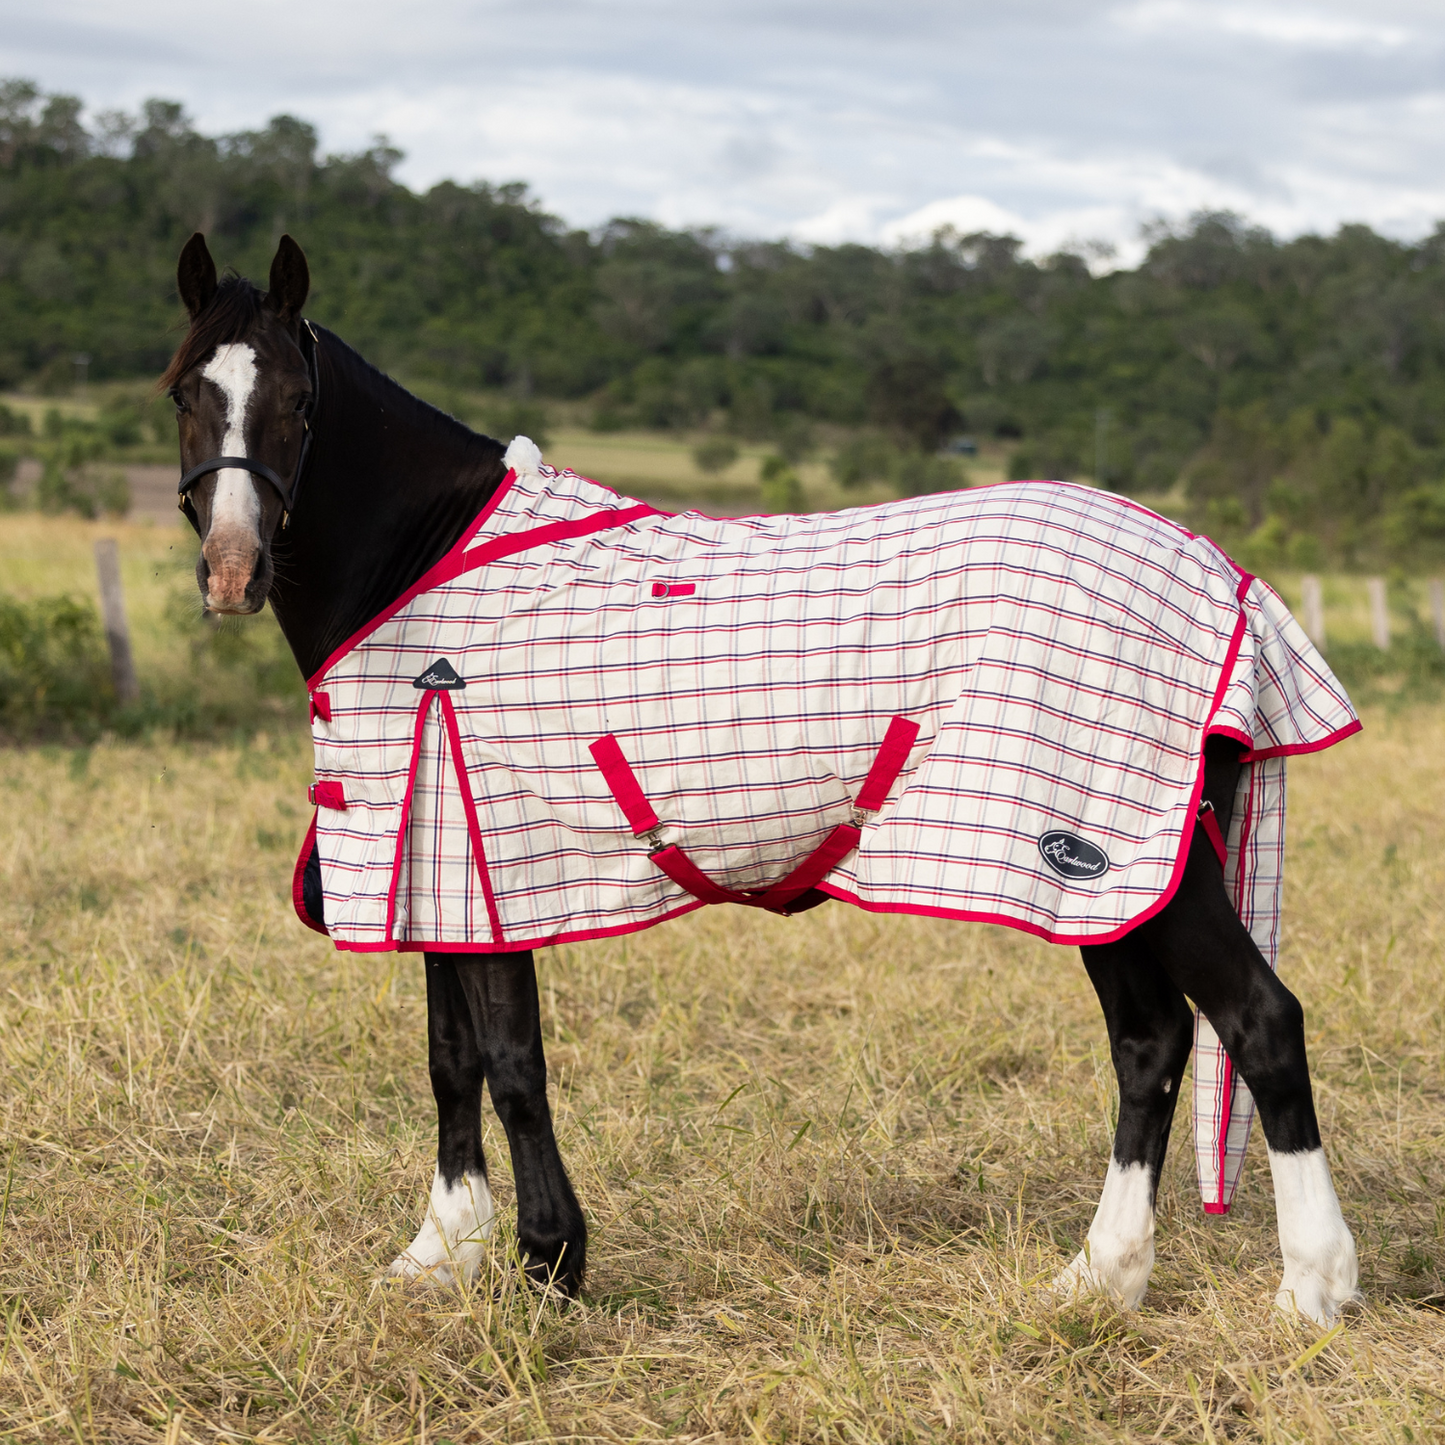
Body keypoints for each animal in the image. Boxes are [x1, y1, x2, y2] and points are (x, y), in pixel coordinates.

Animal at [164, 234, 1358, 1323]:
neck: (425, 567)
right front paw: (441, 1251)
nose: (232, 571)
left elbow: (509, 1060)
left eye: (299, 401)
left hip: (1119, 855)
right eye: (183, 389)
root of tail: (1223, 576)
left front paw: (548, 1263)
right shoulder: (430, 867)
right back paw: (1099, 1279)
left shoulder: (485, 852)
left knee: (1258, 1022)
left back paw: (1311, 1287)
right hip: (1105, 877)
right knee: (1149, 1042)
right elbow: (448, 1056)